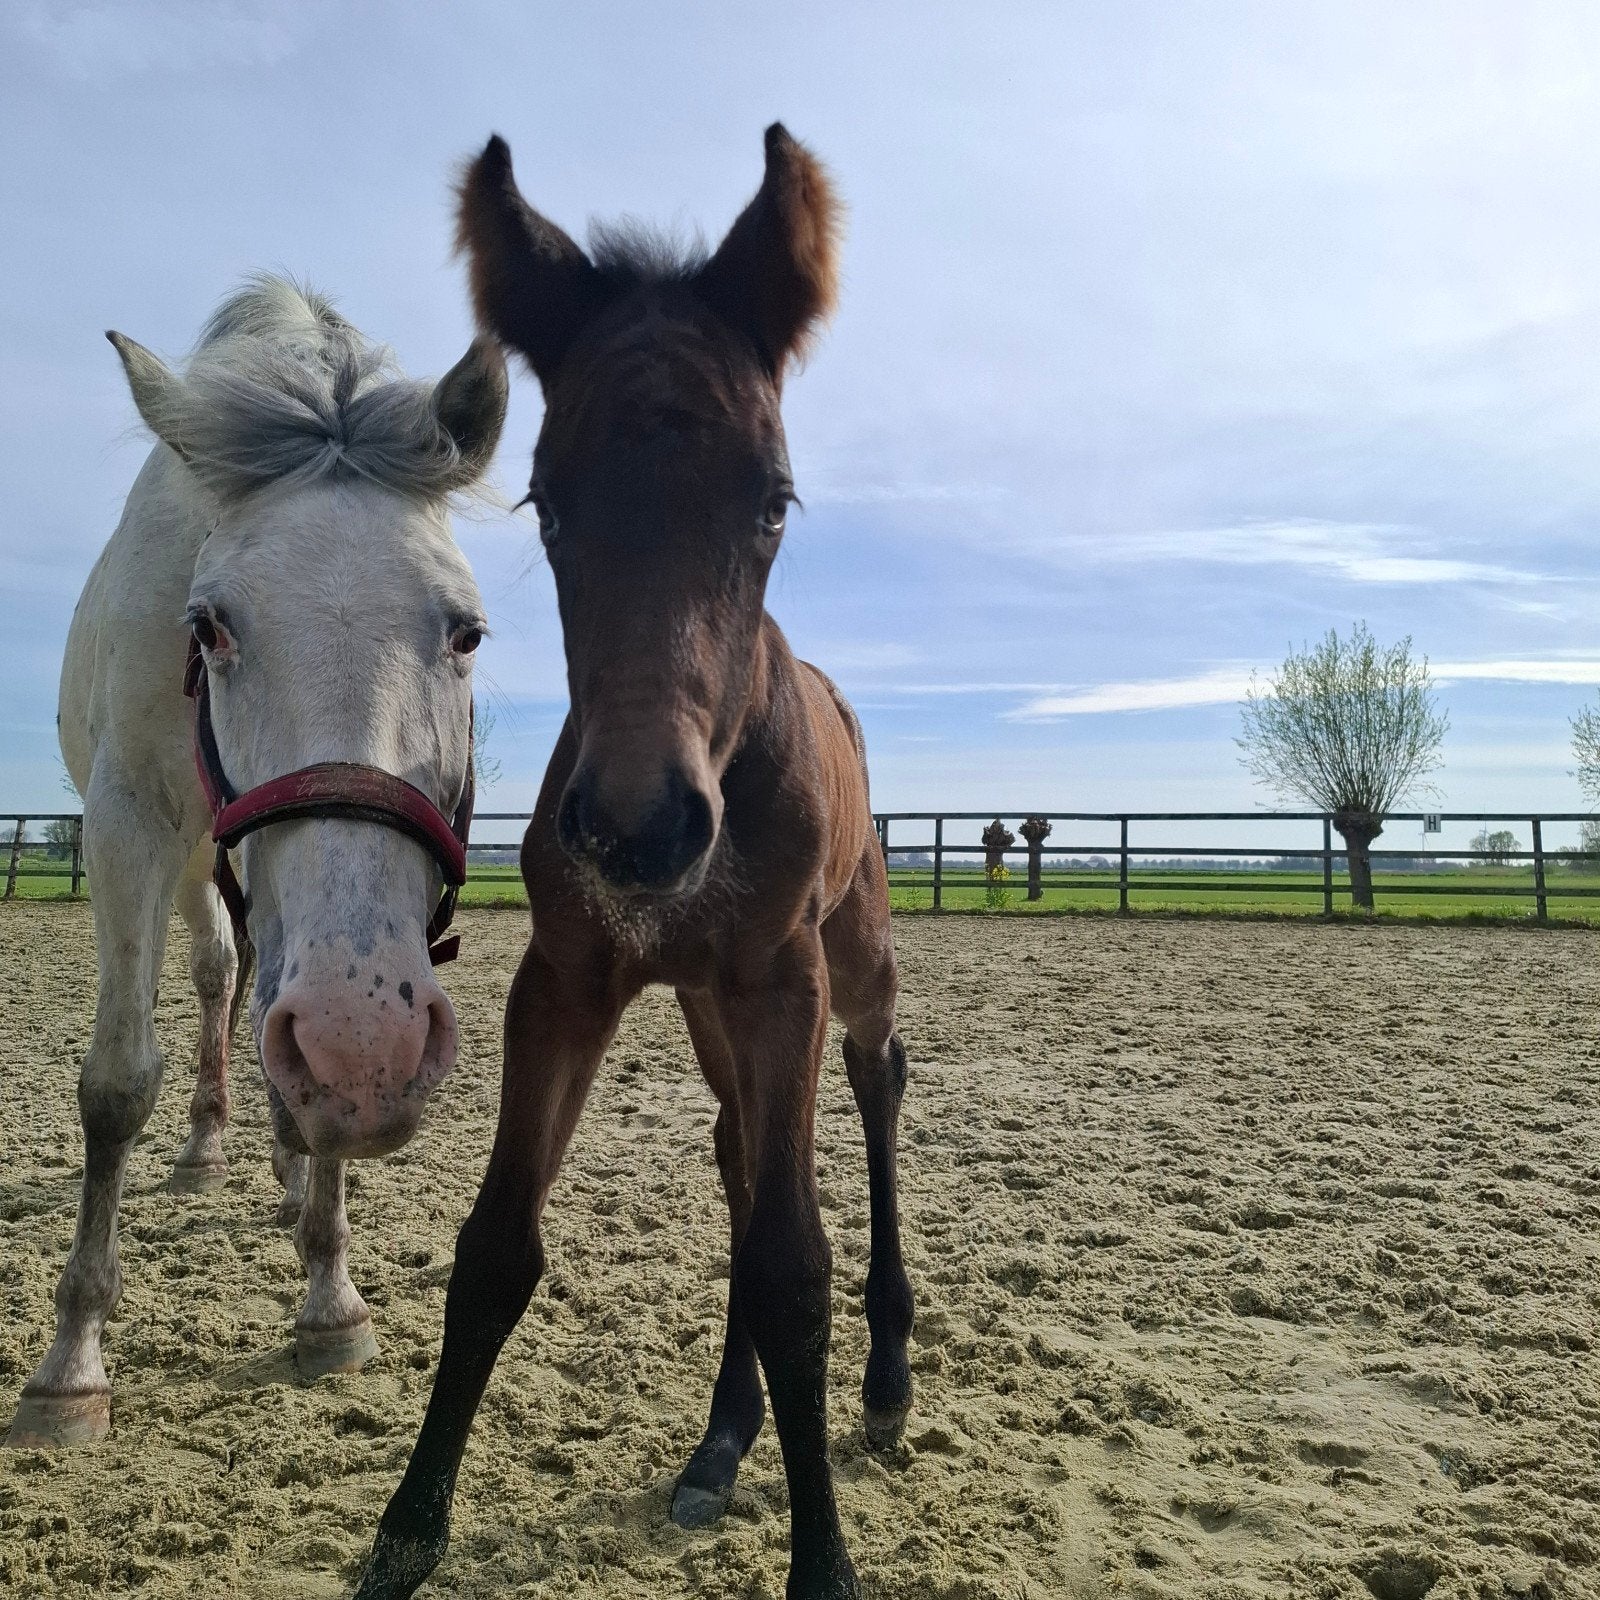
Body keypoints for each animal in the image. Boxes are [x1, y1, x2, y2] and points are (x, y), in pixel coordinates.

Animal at [6, 277, 507, 1448]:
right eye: (212, 627)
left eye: (466, 633)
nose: (368, 1048)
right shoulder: (126, 824)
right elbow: (116, 1082)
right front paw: (71, 1360)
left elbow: (321, 1073)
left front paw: (329, 1296)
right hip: (196, 865)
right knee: (220, 977)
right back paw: (208, 1149)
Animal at [357, 127, 913, 1600]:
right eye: (547, 500)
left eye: (772, 500)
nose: (639, 828)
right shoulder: (566, 977)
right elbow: (497, 1246)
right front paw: (406, 1530)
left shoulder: (783, 980)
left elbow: (793, 1269)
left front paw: (825, 1562)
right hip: (712, 1005)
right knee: (738, 1152)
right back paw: (722, 1441)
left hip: (850, 963)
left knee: (876, 1089)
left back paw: (887, 1379)